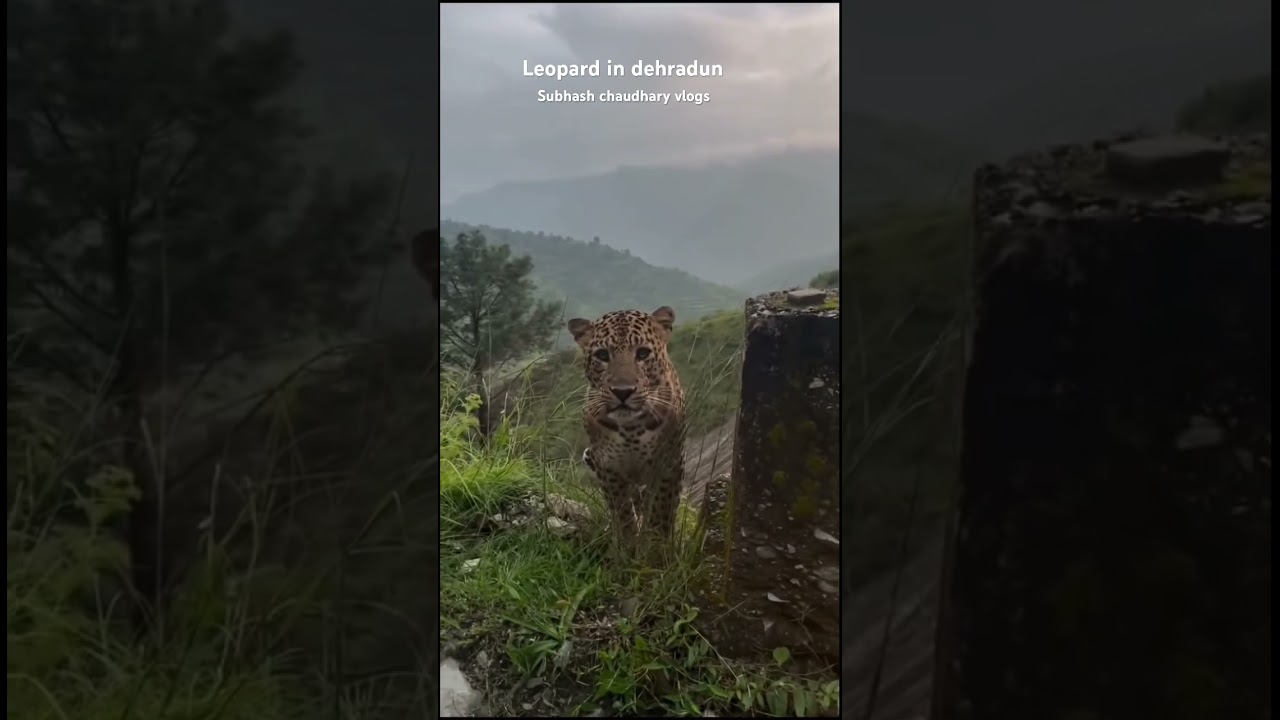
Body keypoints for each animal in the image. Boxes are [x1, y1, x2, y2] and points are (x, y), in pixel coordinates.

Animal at [568, 306, 686, 557]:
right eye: (603, 356)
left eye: (642, 353)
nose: (623, 392)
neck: (631, 429)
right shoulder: (609, 466)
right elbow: (621, 510)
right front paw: (627, 547)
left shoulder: (669, 463)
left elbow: (662, 509)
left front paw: (656, 548)